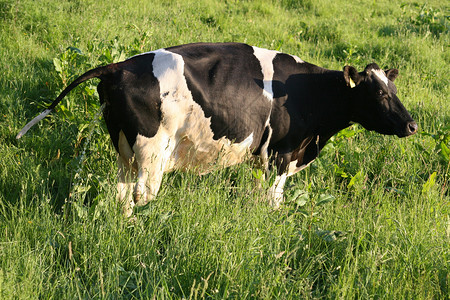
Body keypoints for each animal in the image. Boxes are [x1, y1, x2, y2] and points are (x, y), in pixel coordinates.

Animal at [17, 42, 418, 216]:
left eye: (394, 89)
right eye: (379, 92)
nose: (412, 124)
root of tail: (119, 66)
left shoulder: (262, 158)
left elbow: (257, 196)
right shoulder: (281, 155)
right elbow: (273, 200)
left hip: (124, 150)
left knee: (121, 194)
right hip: (152, 151)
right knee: (143, 195)